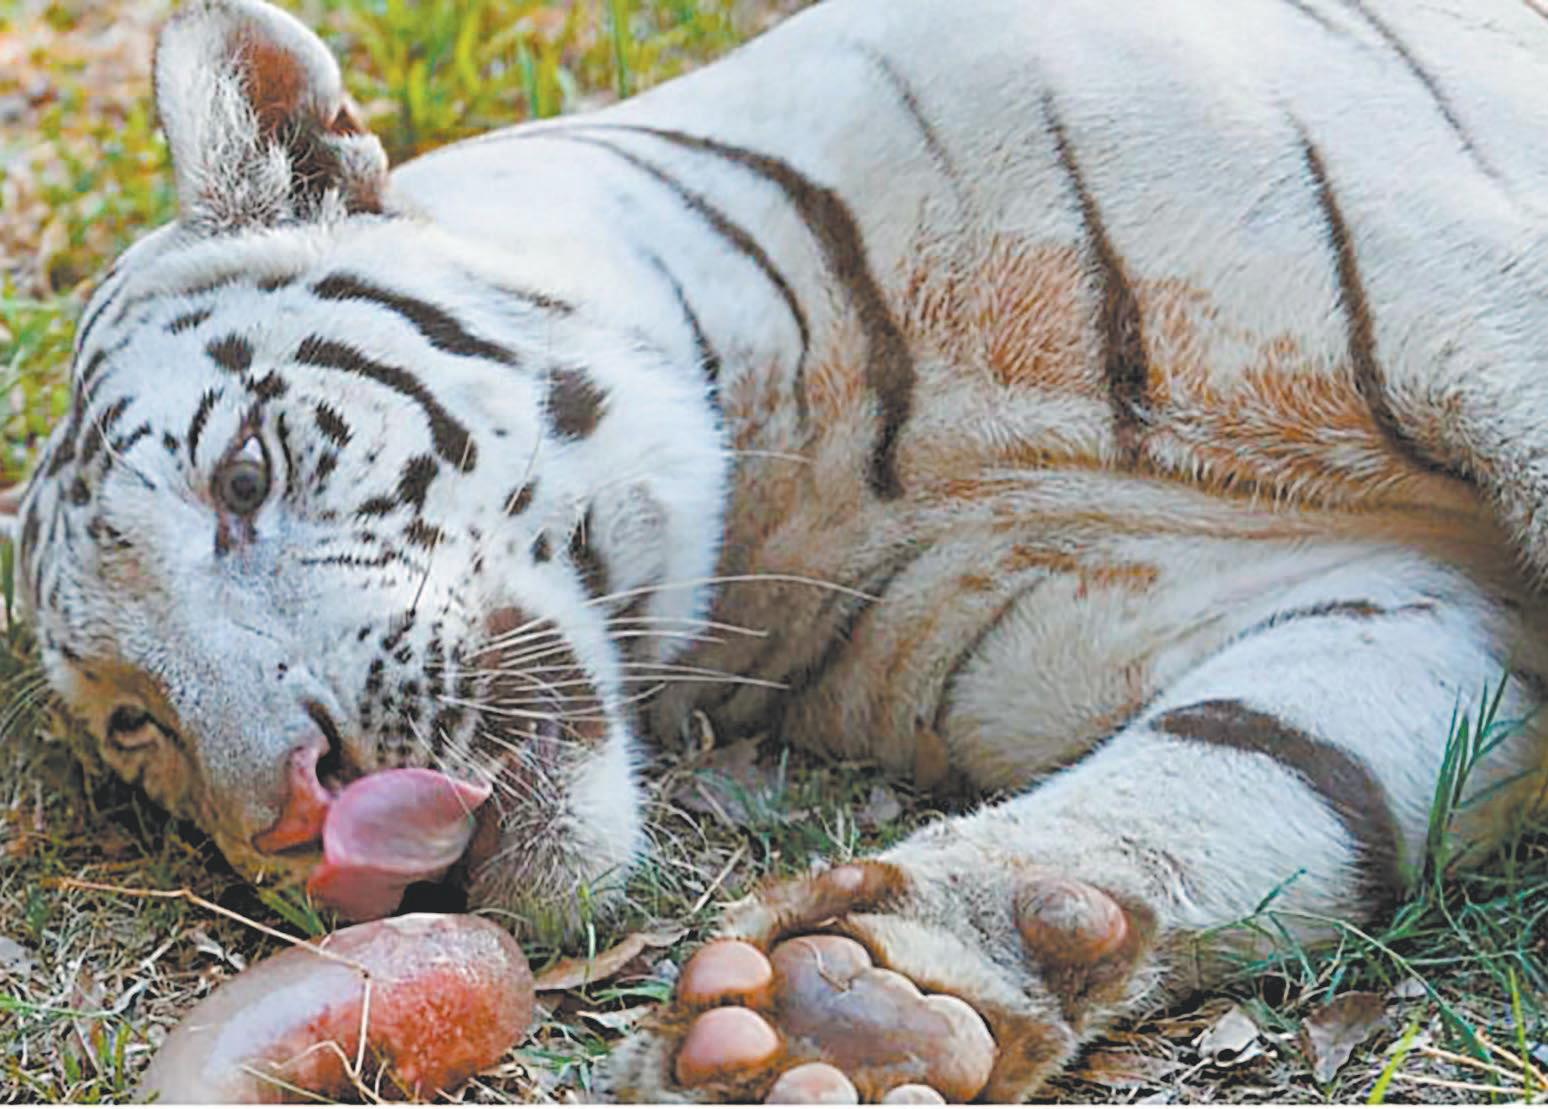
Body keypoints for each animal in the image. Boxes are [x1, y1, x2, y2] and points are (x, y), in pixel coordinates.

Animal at [11, 0, 1548, 1101]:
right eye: (139, 729)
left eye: (243, 476)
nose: (294, 816)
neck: (812, 456)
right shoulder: (1392, 601)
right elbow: (1250, 771)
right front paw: (859, 1006)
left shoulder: (1479, 309)